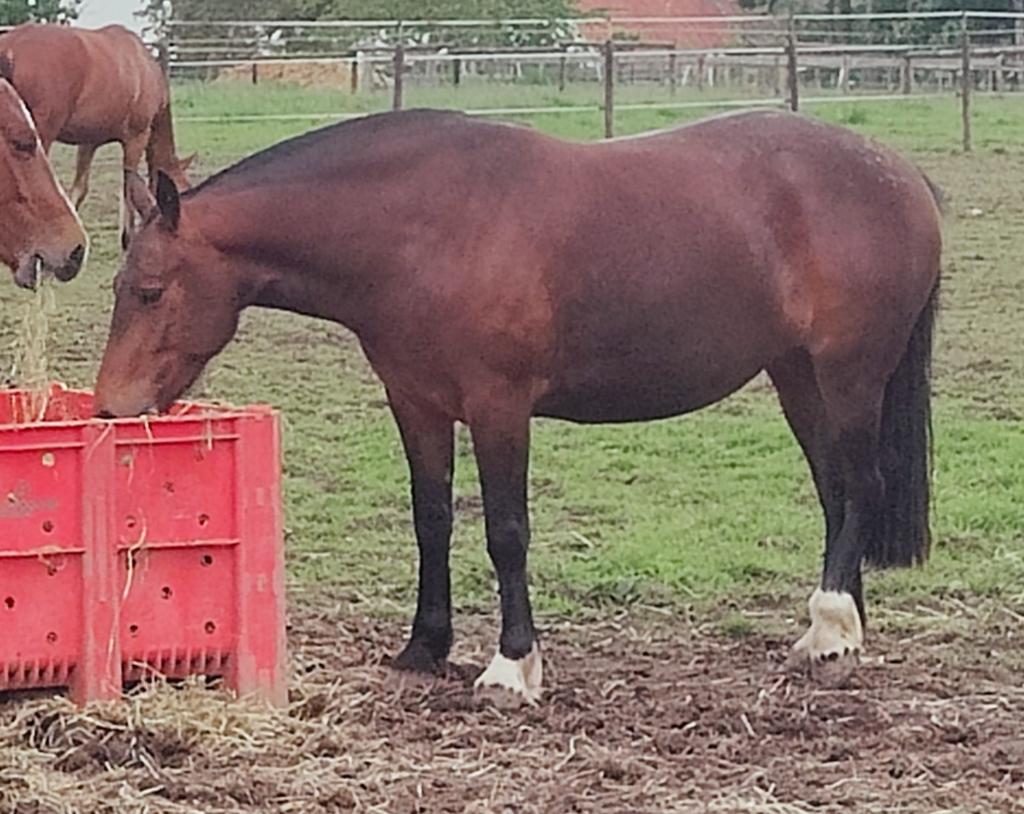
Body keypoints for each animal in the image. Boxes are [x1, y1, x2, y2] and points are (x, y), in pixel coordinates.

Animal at [0, 23, 194, 249]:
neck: (145, 67)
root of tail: (10, 46)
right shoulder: (136, 137)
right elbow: (128, 188)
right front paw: (128, 238)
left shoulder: (89, 143)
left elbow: (79, 190)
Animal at [93, 108, 942, 705]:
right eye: (119, 287)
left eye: (151, 291)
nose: (109, 409)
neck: (422, 227)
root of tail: (901, 175)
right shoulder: (417, 402)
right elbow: (431, 518)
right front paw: (424, 648)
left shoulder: (498, 406)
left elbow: (506, 531)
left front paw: (512, 666)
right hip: (797, 376)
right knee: (836, 492)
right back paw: (838, 627)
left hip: (849, 375)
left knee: (860, 486)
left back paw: (833, 631)